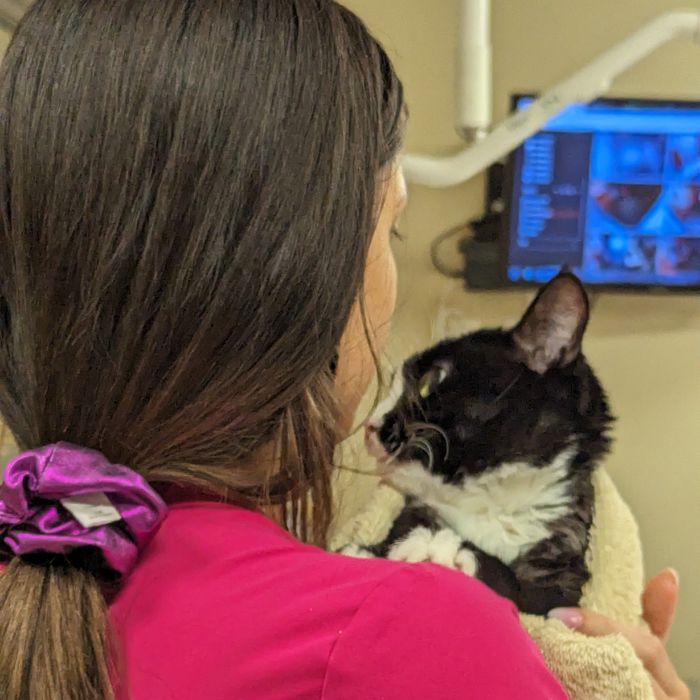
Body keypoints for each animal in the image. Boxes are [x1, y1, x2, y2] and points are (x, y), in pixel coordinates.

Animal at [344, 274, 612, 612]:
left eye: (429, 382)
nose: (370, 425)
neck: (489, 500)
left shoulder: (562, 577)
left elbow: (528, 598)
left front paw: (454, 548)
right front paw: (375, 549)